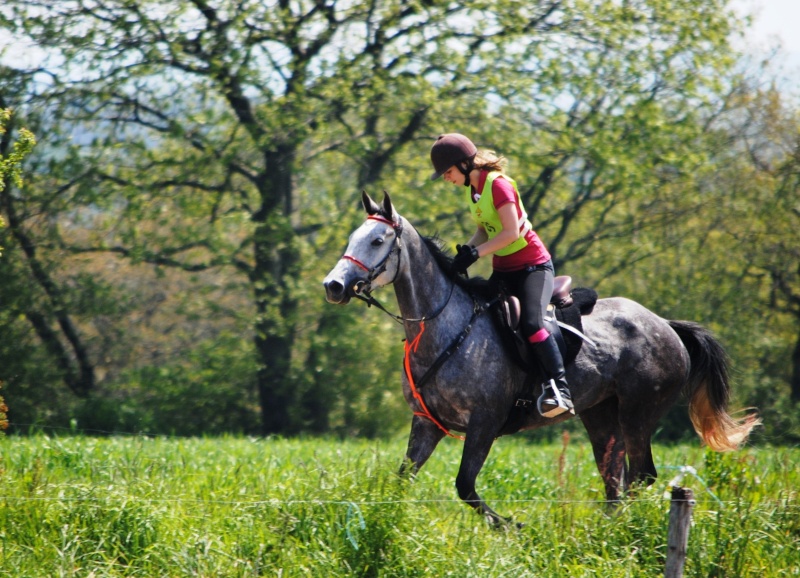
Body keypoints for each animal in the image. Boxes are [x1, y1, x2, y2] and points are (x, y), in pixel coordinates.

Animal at [322, 191, 760, 524]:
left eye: (377, 241)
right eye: (353, 237)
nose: (333, 285)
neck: (443, 324)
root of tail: (665, 324)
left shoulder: (484, 423)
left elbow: (465, 486)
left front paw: (511, 526)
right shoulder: (426, 424)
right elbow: (401, 480)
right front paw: (384, 521)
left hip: (639, 412)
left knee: (640, 476)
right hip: (601, 416)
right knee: (614, 480)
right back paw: (604, 532)